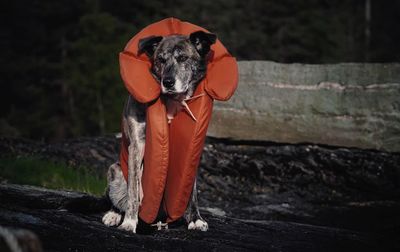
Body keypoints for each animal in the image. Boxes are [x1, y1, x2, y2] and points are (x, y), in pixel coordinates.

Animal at [101, 30, 217, 233]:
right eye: (161, 60)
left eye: (183, 58)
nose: (168, 82)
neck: (172, 102)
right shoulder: (137, 146)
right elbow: (133, 190)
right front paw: (129, 222)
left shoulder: (193, 149)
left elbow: (191, 190)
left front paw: (196, 219)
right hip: (115, 169)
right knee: (119, 198)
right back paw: (114, 214)